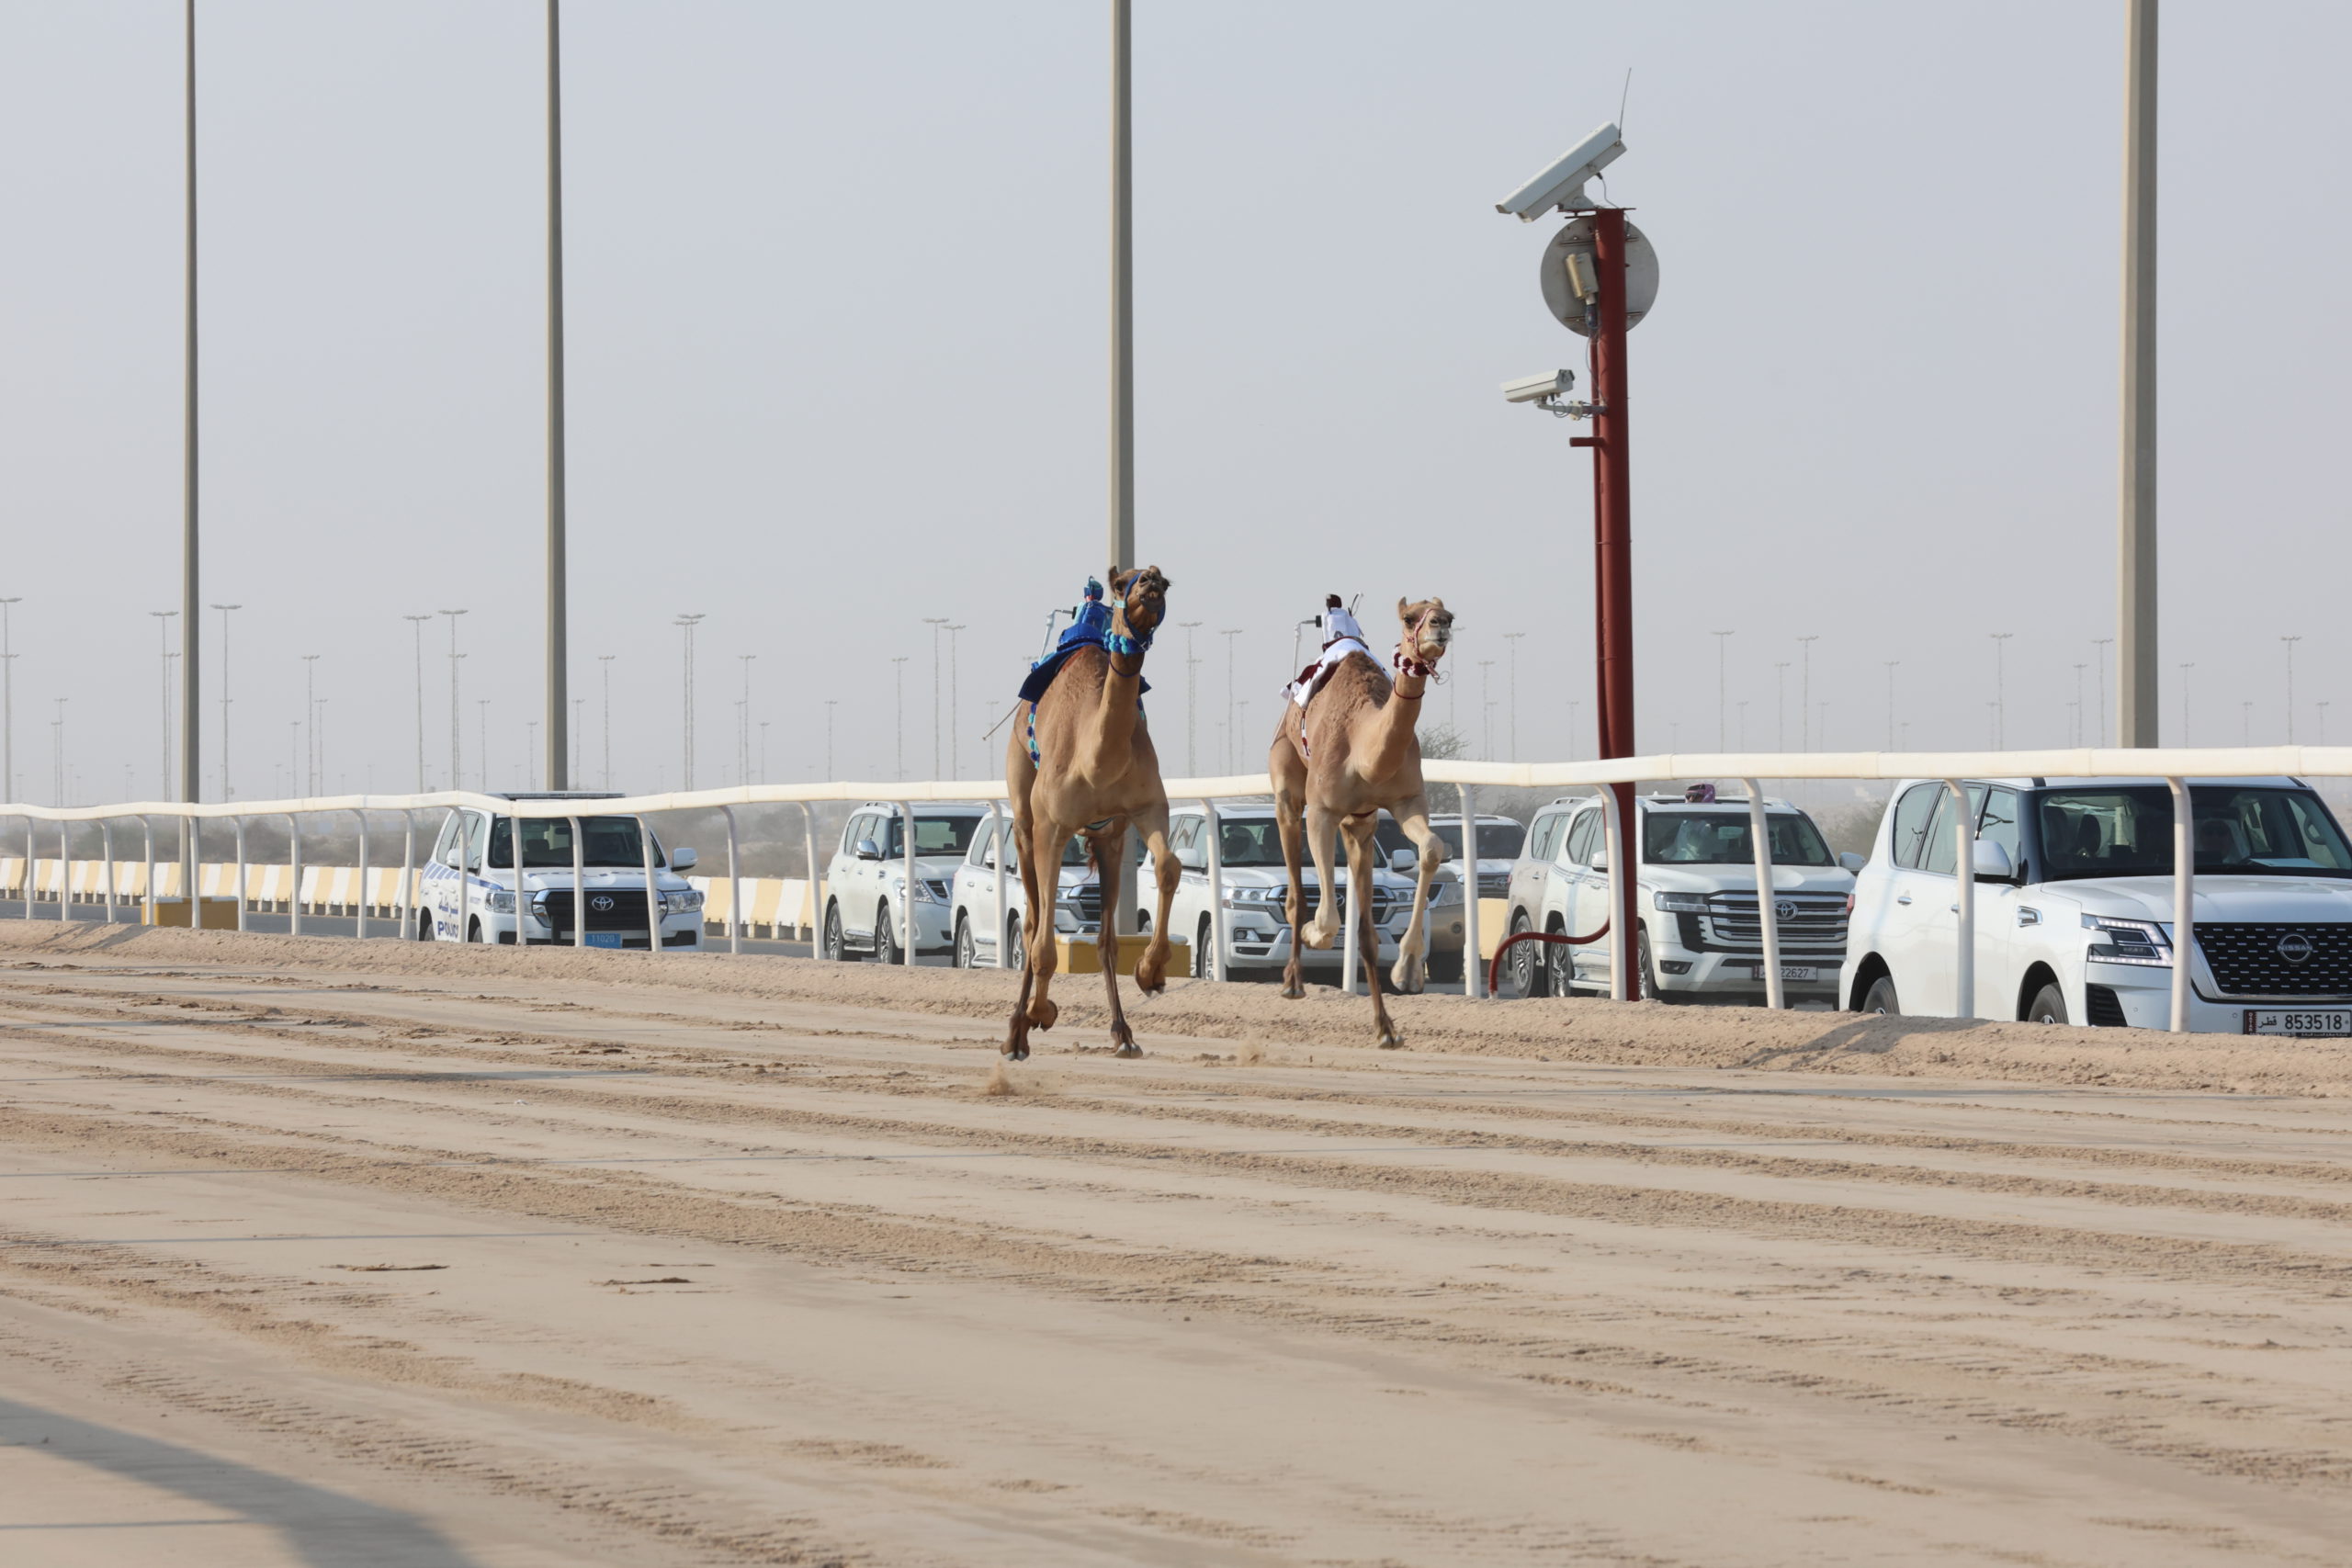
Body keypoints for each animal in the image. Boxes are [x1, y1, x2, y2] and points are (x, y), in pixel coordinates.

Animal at [1001, 566, 1176, 1066]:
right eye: (1124, 583)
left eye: (1166, 583)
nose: (1150, 580)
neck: (1096, 758)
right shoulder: (1052, 827)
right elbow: (1042, 944)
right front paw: (1041, 1013)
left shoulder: (1146, 809)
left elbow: (1169, 867)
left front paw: (1151, 972)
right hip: (1025, 822)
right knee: (1032, 923)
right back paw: (1016, 1032)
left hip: (1108, 841)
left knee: (1104, 940)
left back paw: (1123, 1034)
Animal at [1270, 594, 1448, 1048]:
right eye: (1410, 618)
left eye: (1450, 615)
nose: (1440, 626)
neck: (1364, 747)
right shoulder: (1321, 810)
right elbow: (1328, 919)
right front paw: (1314, 934)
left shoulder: (1406, 801)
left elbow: (1432, 849)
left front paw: (1408, 970)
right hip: (1286, 785)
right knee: (1295, 892)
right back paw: (1292, 982)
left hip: (1360, 826)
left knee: (1367, 932)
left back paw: (1386, 1029)